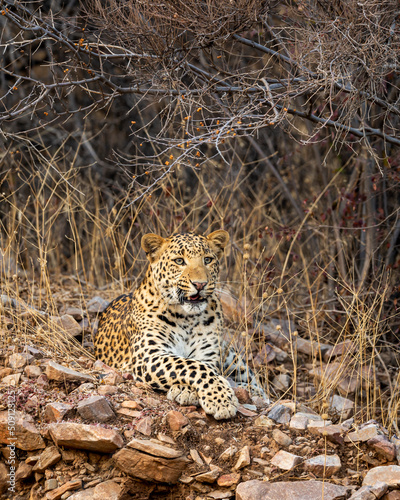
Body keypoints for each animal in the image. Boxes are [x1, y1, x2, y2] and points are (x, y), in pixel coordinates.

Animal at [94, 229, 266, 418]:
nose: (200, 284)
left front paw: (208, 395)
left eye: (207, 260)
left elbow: (203, 367)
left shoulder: (208, 355)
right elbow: (191, 365)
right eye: (179, 261)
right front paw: (220, 400)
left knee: (254, 383)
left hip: (230, 355)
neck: (186, 318)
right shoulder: (148, 356)